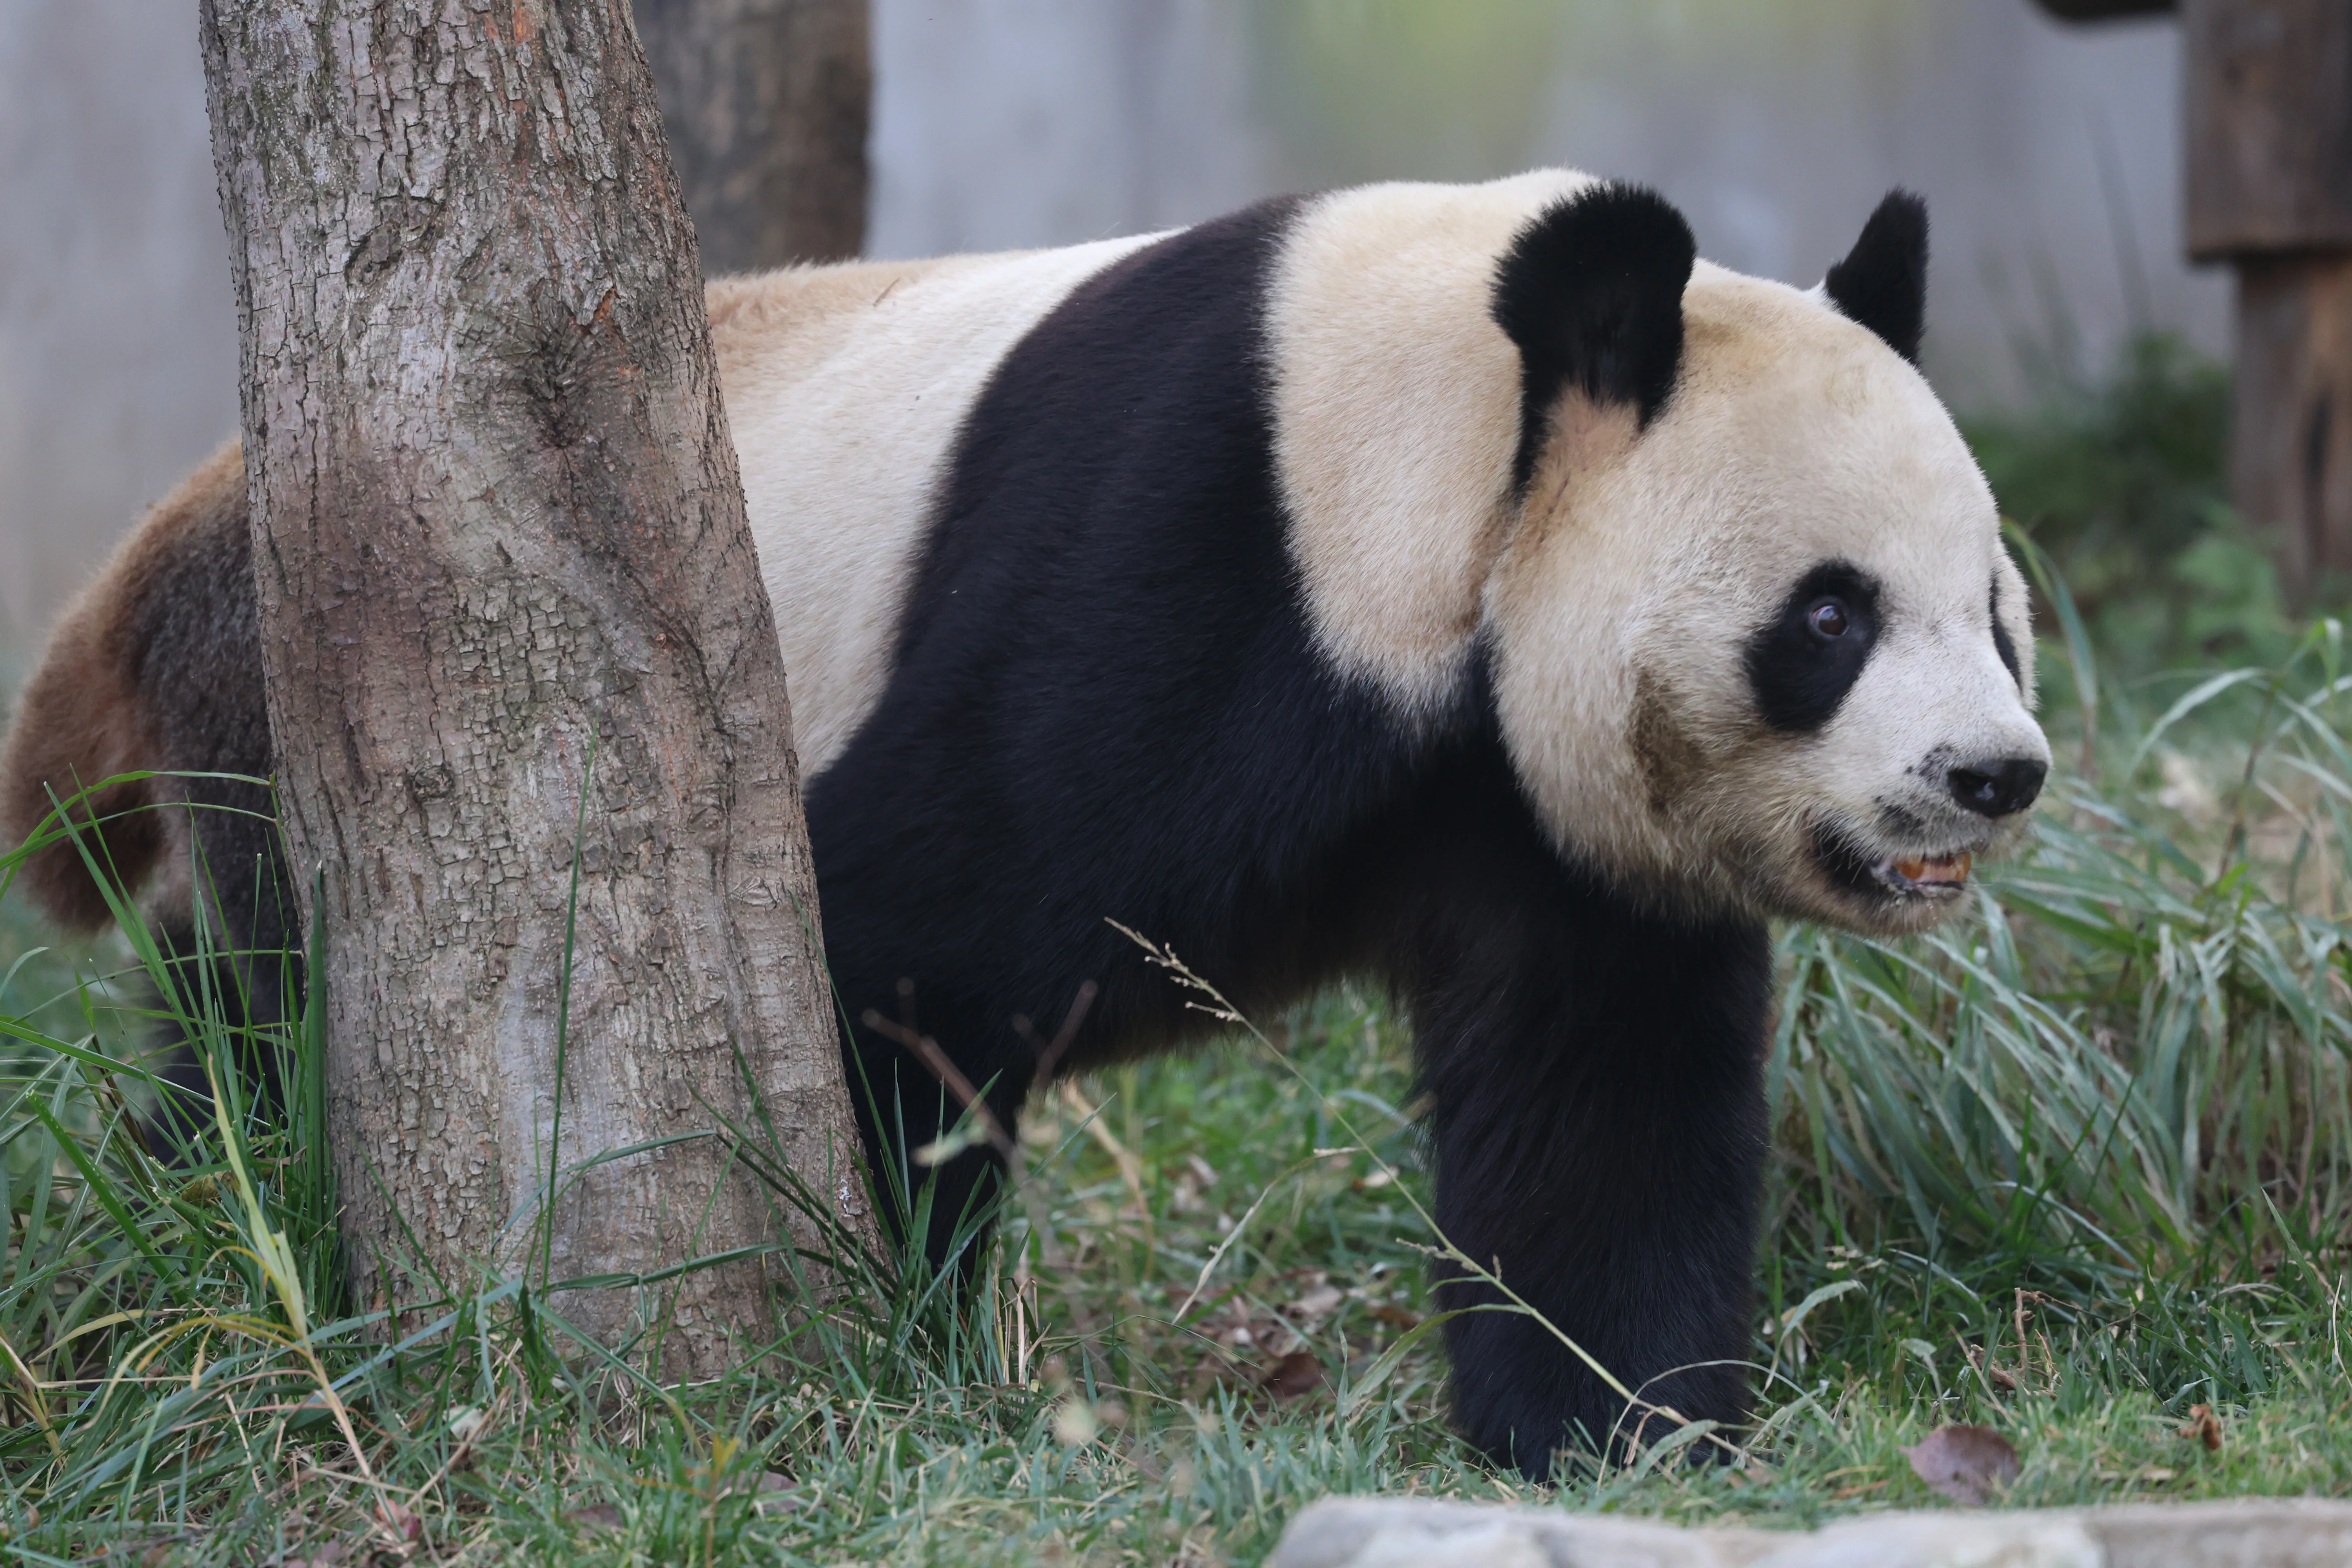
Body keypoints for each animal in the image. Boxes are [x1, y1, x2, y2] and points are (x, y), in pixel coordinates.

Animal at [0, 171, 2047, 1478]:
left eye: (1997, 608)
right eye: (1829, 617)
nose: (1992, 773)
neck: (1459, 428)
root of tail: (177, 526)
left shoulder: (1538, 810)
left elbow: (1594, 1100)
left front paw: (1621, 1424)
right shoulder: (1191, 558)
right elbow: (901, 937)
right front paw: (901, 1347)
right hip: (292, 721)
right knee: (273, 1032)